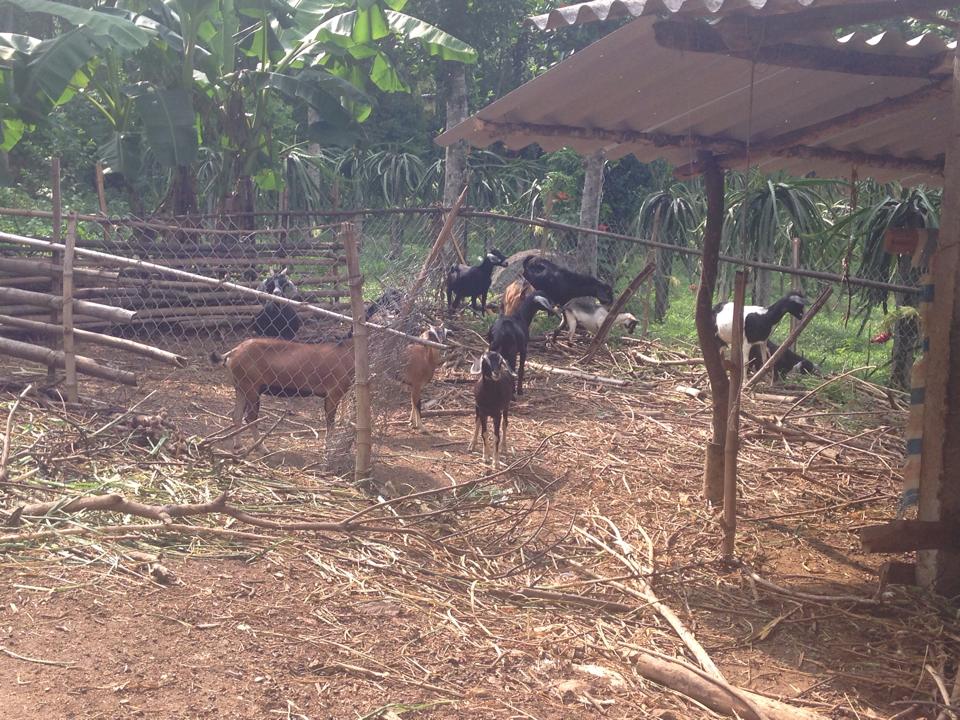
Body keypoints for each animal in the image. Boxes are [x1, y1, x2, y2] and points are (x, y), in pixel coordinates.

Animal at [210, 338, 354, 449]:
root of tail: (232, 354)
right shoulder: (334, 393)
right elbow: (330, 423)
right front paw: (329, 447)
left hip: (240, 389)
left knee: (237, 416)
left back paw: (239, 446)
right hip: (251, 388)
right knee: (250, 418)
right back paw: (262, 449)